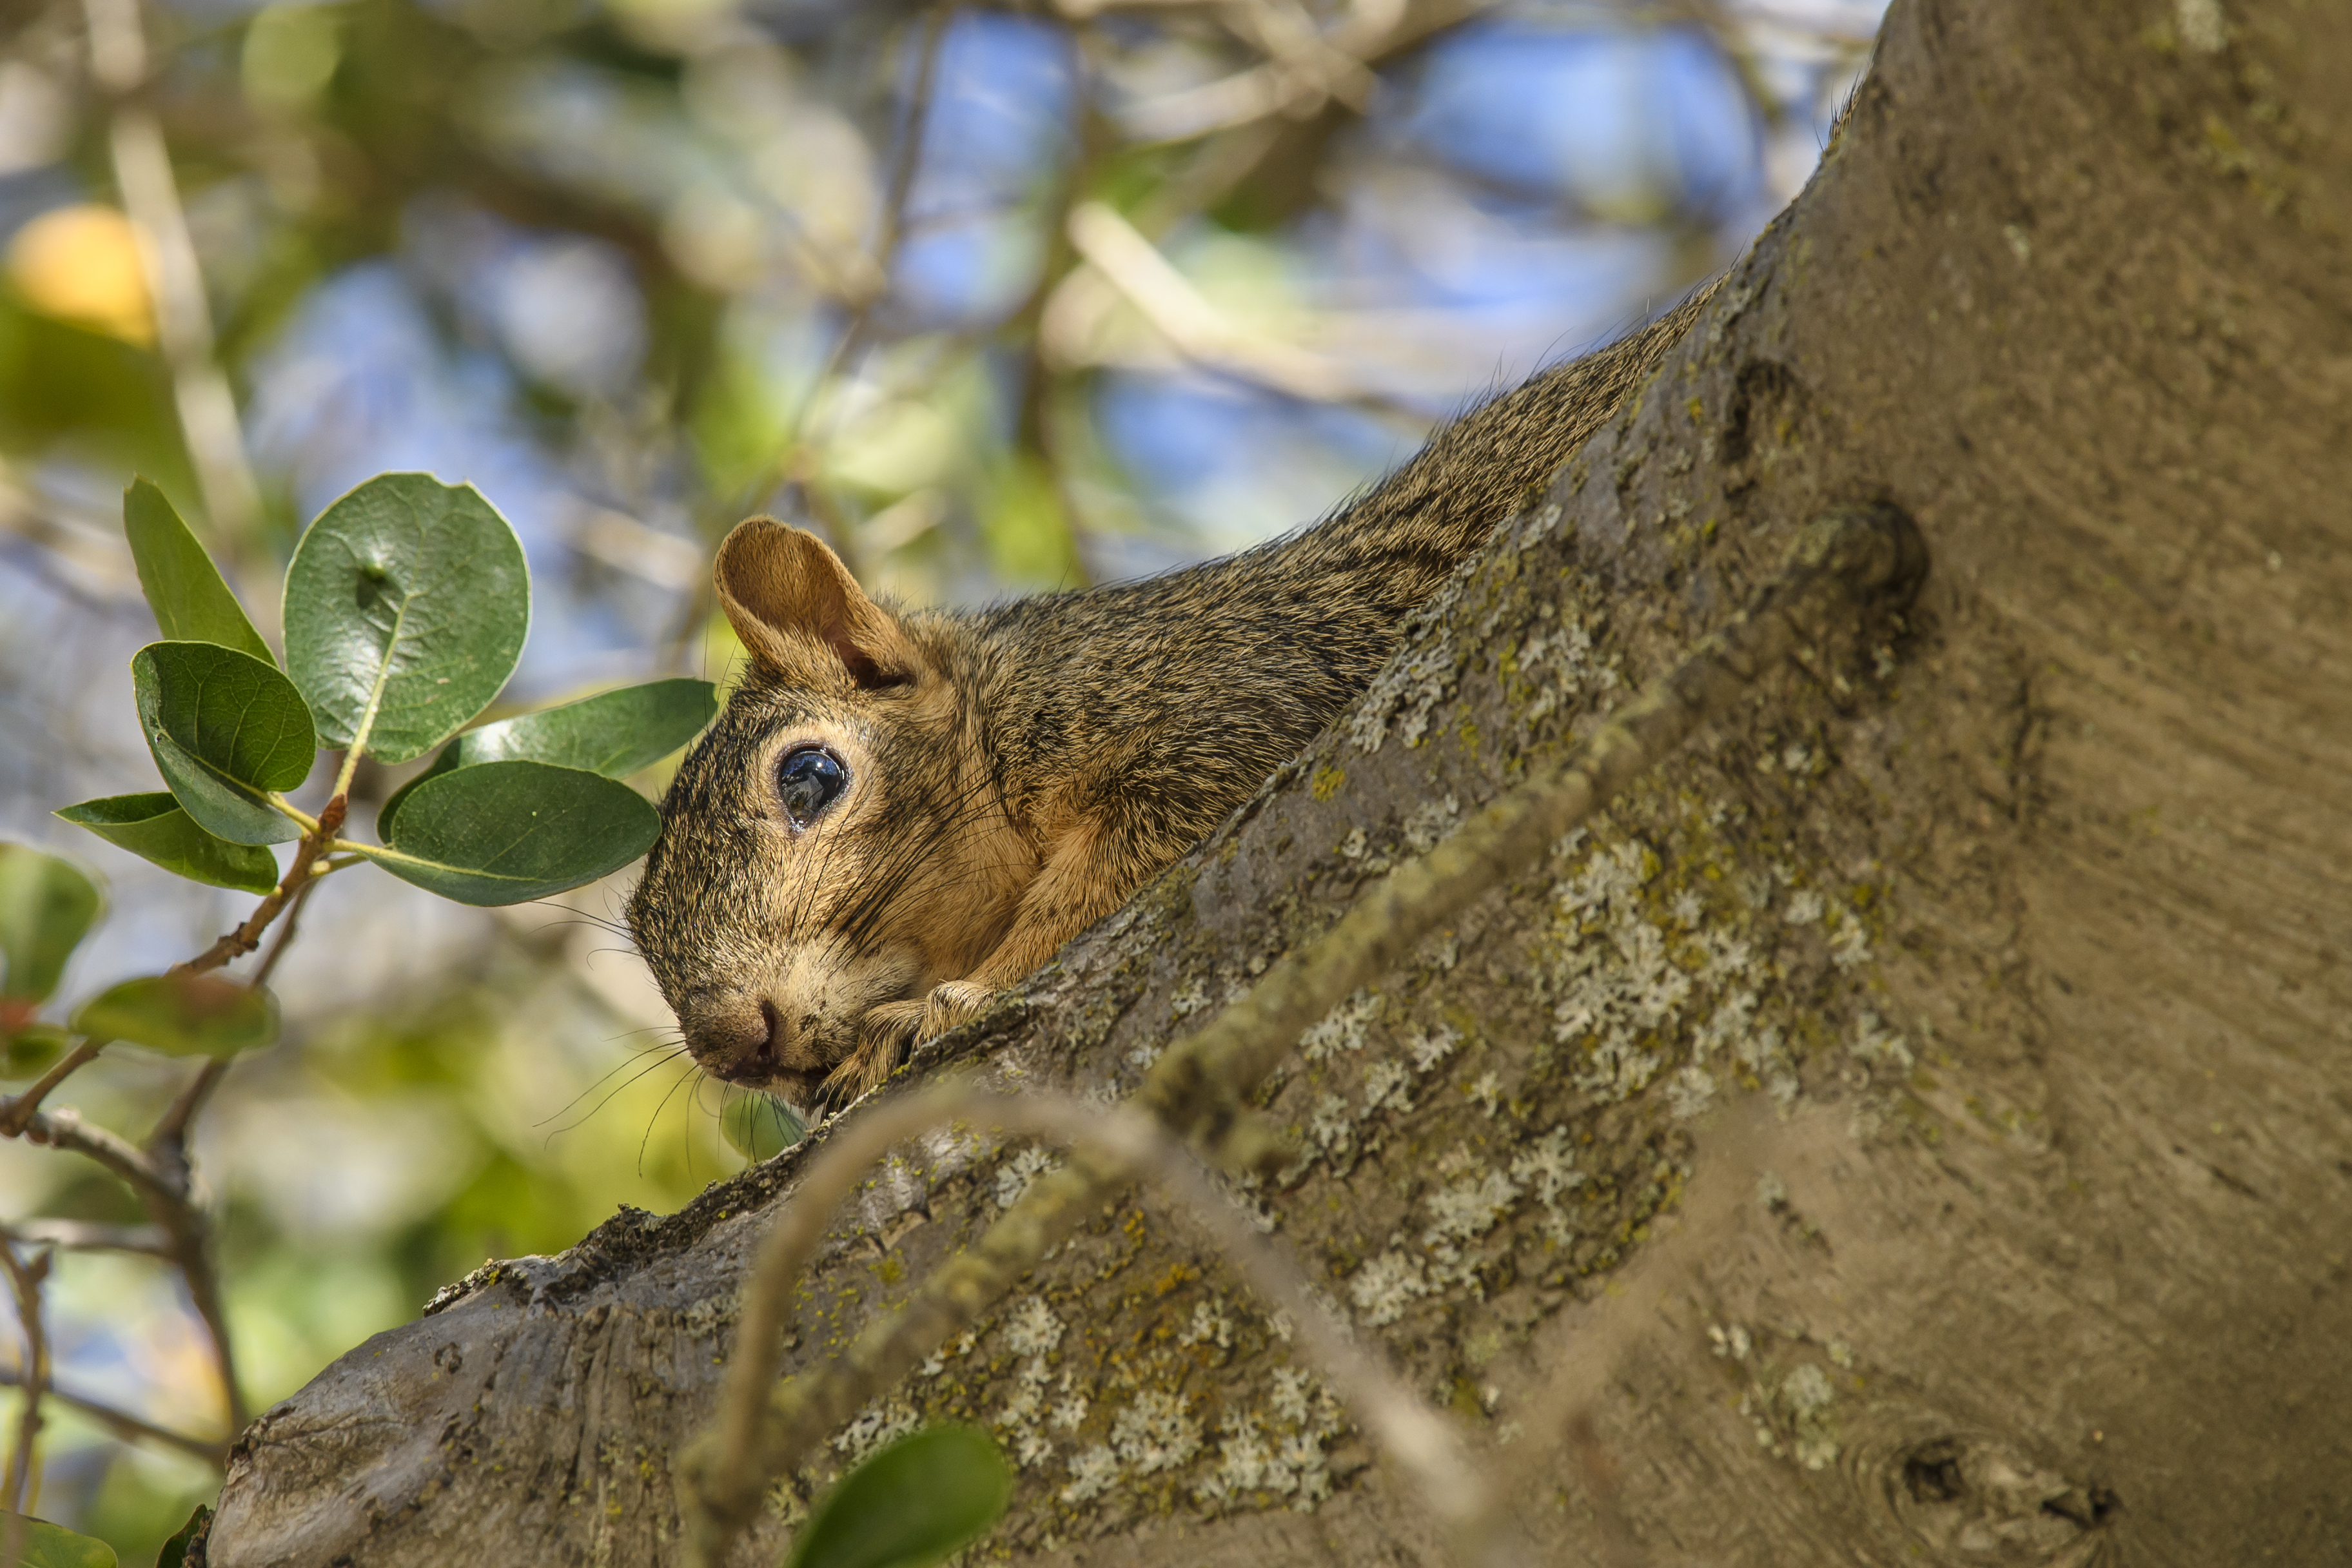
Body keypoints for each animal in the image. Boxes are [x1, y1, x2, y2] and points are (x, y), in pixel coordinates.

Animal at [626, 285, 1713, 1114]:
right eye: (637, 928)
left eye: (811, 776)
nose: (736, 1043)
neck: (1011, 719)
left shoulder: (1229, 704)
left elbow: (1097, 888)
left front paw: (947, 1004)